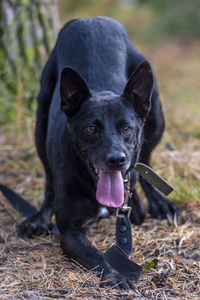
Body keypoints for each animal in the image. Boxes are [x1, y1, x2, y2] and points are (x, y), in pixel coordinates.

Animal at [0, 17, 180, 290]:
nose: (116, 160)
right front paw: (117, 276)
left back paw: (160, 203)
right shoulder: (71, 232)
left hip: (156, 117)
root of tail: (91, 19)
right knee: (48, 179)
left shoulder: (131, 212)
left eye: (126, 128)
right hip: (41, 118)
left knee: (146, 159)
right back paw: (38, 218)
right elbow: (99, 256)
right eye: (90, 129)